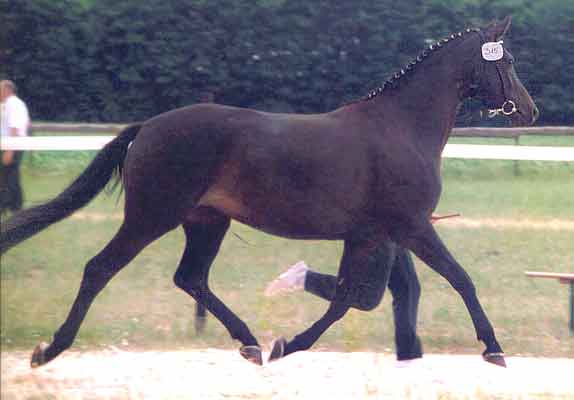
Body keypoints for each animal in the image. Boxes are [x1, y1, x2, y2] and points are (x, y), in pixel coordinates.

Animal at [1, 16, 540, 368]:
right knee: (101, 268)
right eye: (509, 59)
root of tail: (149, 127)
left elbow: (351, 297)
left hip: (206, 221)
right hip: (152, 215)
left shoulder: (370, 235)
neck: (402, 127)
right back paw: (49, 350)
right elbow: (459, 278)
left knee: (190, 278)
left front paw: (287, 345)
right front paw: (493, 348)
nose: (529, 111)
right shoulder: (412, 228)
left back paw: (250, 343)